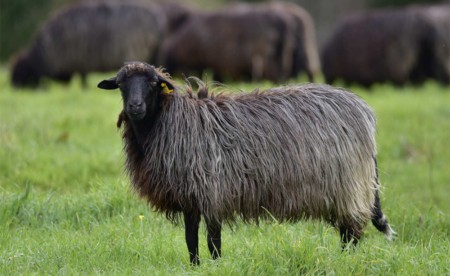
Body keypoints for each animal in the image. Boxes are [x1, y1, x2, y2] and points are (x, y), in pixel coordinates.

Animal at [97, 62, 394, 266]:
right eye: (121, 84)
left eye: (152, 83)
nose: (135, 107)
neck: (170, 120)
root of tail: (364, 111)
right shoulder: (189, 195)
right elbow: (191, 239)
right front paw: (195, 267)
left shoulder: (212, 191)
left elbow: (213, 240)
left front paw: (216, 266)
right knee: (348, 230)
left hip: (348, 185)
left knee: (352, 232)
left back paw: (344, 260)